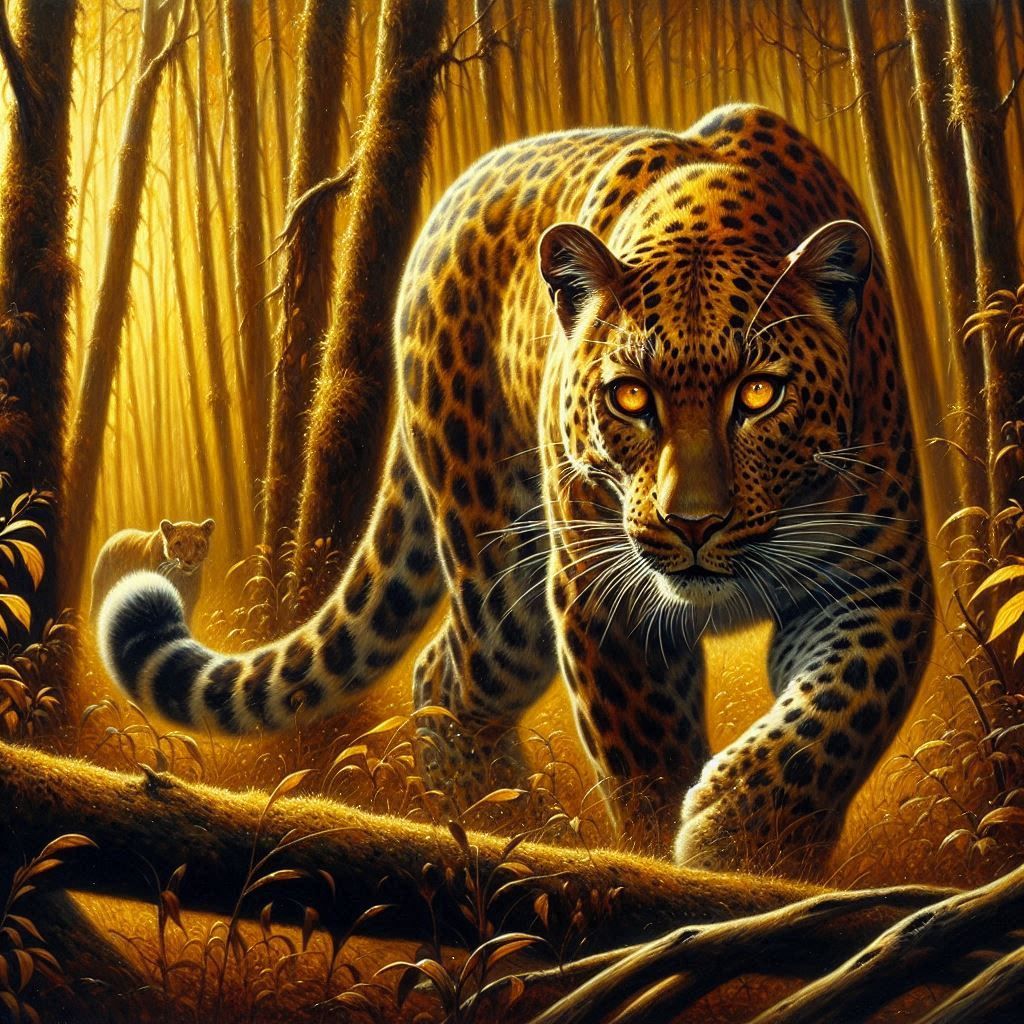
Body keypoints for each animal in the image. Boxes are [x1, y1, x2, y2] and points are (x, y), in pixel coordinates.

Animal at [98, 104, 933, 873]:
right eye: (630, 397)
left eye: (759, 394)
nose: (691, 523)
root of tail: (446, 206)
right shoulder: (604, 597)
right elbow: (648, 763)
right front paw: (676, 860)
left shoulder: (878, 574)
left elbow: (840, 710)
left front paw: (755, 847)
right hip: (505, 576)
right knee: (445, 675)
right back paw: (507, 824)